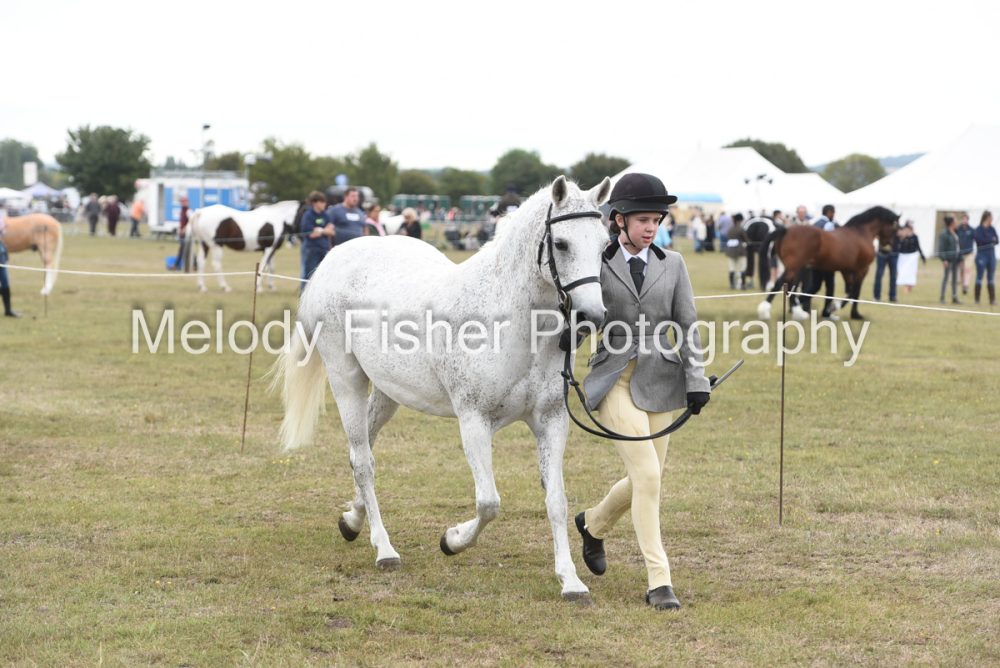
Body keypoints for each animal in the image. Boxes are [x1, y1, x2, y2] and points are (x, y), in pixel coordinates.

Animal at [270, 176, 612, 602]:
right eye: (562, 244)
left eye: (605, 245)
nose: (591, 316)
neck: (507, 321)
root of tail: (335, 257)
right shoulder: (474, 420)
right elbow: (489, 503)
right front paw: (451, 540)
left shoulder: (550, 421)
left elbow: (556, 501)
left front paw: (571, 580)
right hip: (346, 379)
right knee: (363, 461)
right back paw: (384, 549)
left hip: (388, 392)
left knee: (361, 451)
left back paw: (352, 520)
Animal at [757, 206, 899, 321]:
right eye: (895, 229)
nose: (887, 249)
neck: (861, 233)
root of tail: (787, 230)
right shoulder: (862, 269)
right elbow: (855, 291)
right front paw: (840, 308)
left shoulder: (846, 270)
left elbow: (851, 290)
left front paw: (839, 311)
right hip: (794, 267)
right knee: (781, 283)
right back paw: (770, 311)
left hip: (796, 268)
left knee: (788, 285)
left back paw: (796, 312)